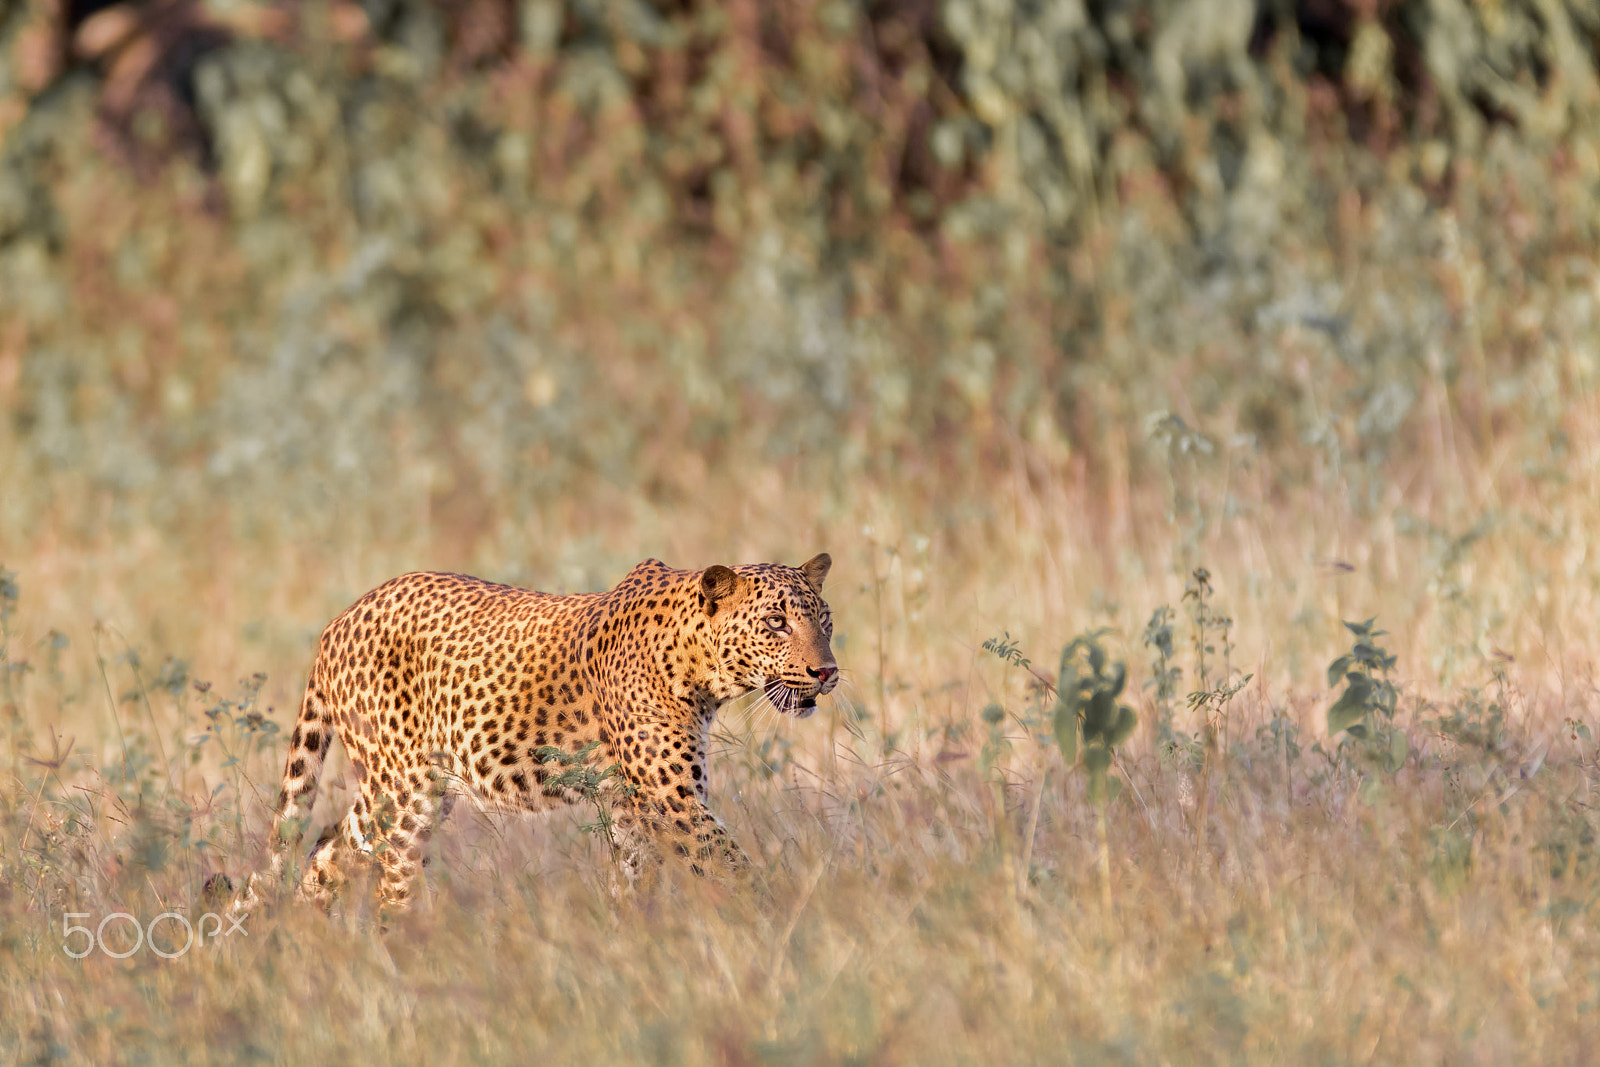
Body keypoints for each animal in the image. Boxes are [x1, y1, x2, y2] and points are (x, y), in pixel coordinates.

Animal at [235, 550, 838, 921]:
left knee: (327, 850)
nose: (827, 672)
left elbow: (634, 878)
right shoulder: (675, 799)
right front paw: (787, 925)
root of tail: (338, 621)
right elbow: (735, 868)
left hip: (404, 790)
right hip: (405, 791)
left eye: (825, 621)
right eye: (777, 623)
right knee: (390, 880)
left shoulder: (632, 804)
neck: (702, 669)